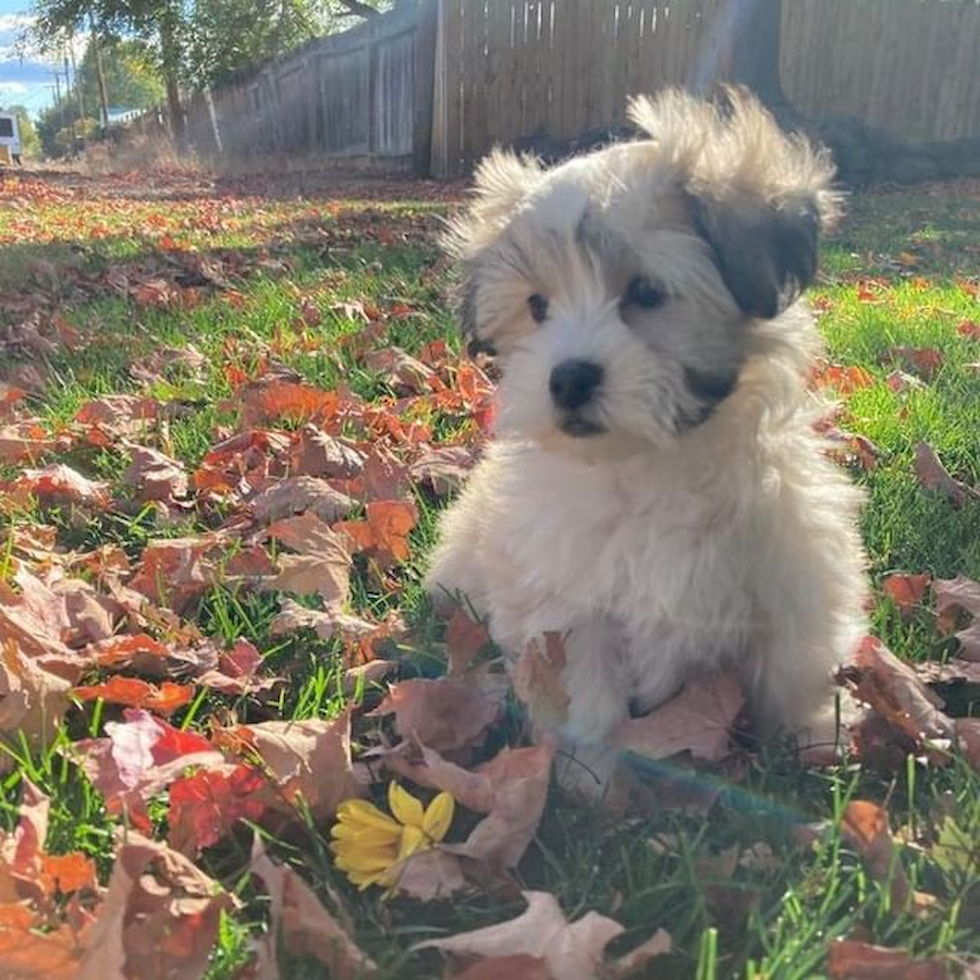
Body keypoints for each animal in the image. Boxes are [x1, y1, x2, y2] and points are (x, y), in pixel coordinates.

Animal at [424, 88, 868, 792]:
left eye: (646, 292)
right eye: (538, 307)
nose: (568, 377)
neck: (647, 465)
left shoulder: (790, 568)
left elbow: (792, 663)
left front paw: (812, 737)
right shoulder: (571, 605)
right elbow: (588, 689)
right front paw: (595, 780)